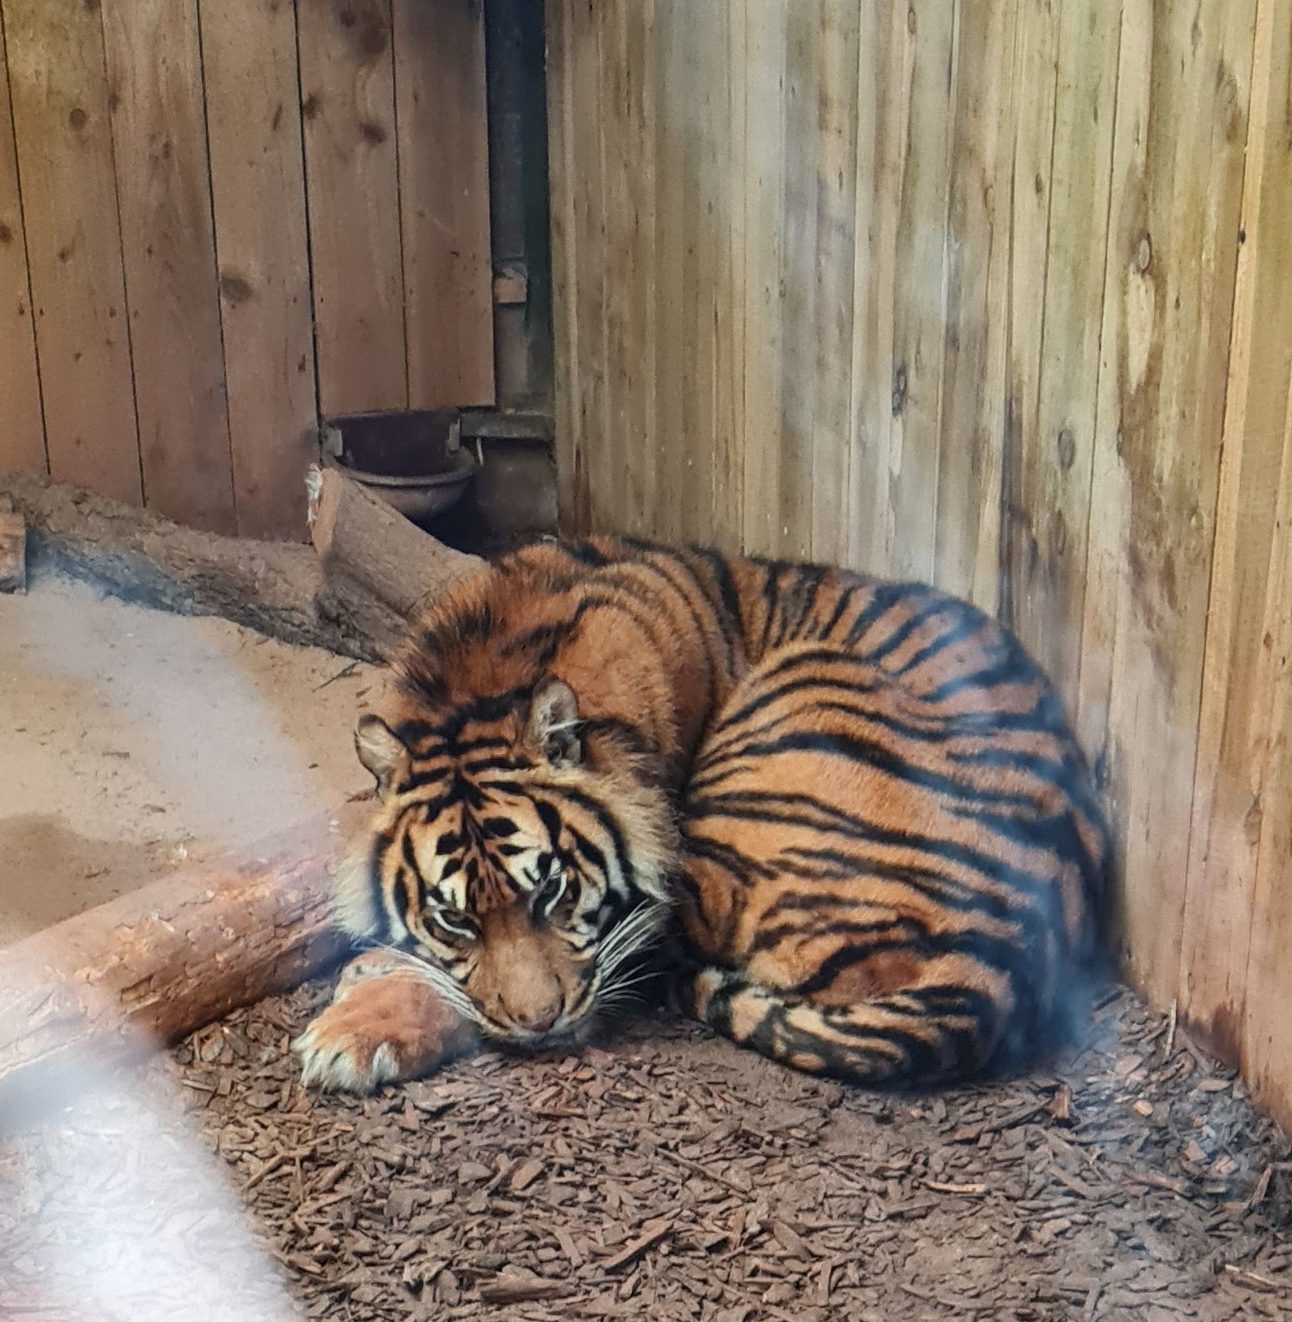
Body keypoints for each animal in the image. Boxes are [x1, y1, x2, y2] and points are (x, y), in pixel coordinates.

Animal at [294, 534, 1110, 1094]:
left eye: (552, 891)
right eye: (455, 917)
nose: (540, 1026)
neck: (479, 678)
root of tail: (1006, 959)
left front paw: (353, 1028)